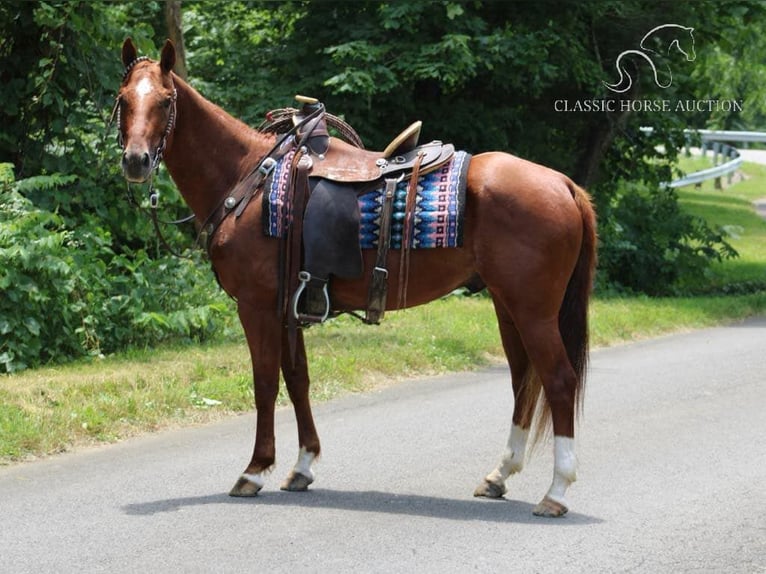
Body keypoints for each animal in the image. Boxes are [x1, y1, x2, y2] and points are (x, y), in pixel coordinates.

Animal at [115, 38, 600, 520]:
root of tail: (563, 184)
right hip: (507, 304)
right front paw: (303, 465)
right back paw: (499, 475)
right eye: (123, 100)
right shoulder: (289, 307)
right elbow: (298, 380)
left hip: (533, 310)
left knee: (558, 380)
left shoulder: (256, 307)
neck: (248, 178)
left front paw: (255, 470)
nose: (136, 161)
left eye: (166, 100)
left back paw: (556, 491)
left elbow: (265, 384)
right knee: (523, 381)